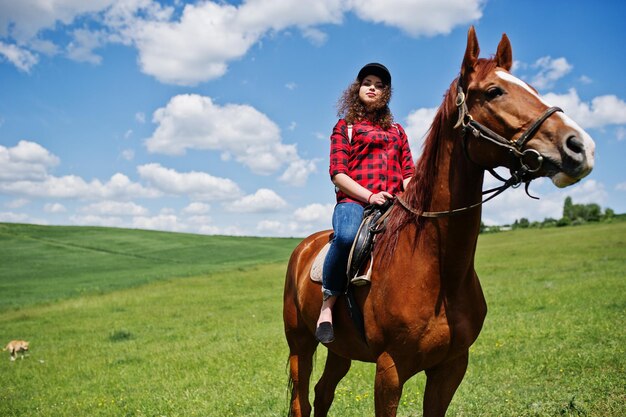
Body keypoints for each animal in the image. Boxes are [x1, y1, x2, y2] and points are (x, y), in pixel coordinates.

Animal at [282, 26, 596, 416]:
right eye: (494, 91)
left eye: (533, 88)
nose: (579, 146)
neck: (438, 269)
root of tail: (305, 246)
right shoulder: (390, 370)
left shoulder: (451, 367)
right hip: (300, 344)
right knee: (302, 400)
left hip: (341, 349)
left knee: (324, 392)